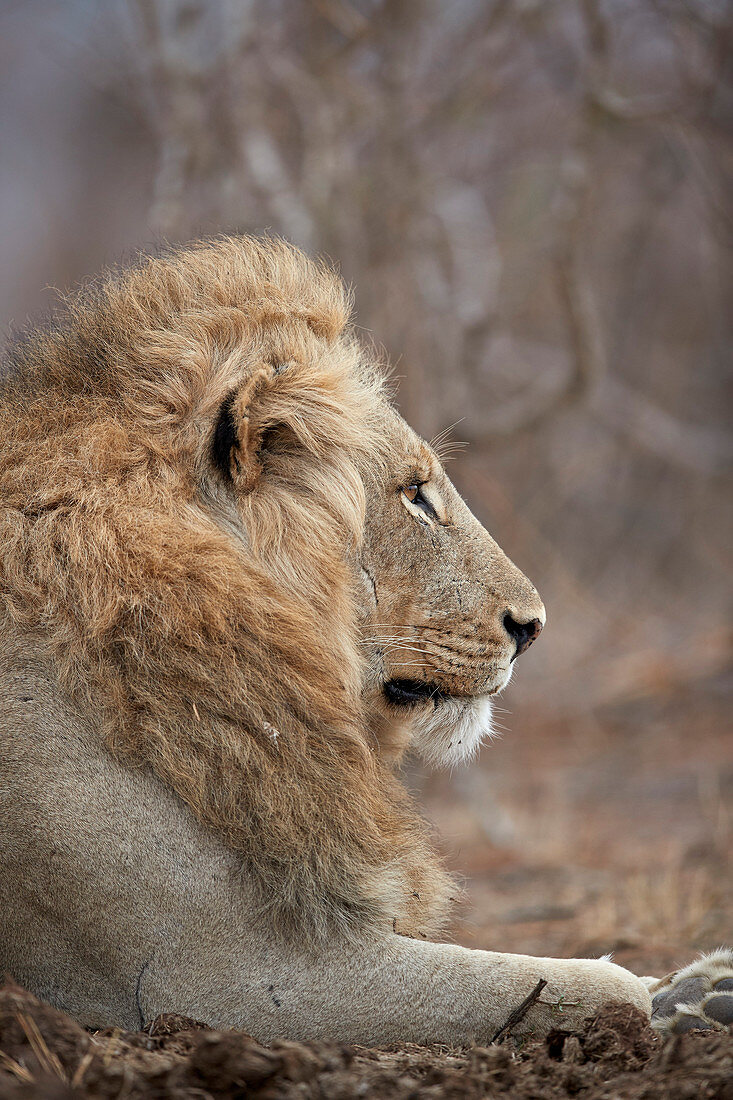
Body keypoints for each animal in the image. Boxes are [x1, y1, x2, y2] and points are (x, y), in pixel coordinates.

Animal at [1, 236, 730, 1042]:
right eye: (414, 493)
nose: (532, 627)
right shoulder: (211, 974)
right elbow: (557, 984)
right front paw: (649, 1000)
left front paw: (702, 990)